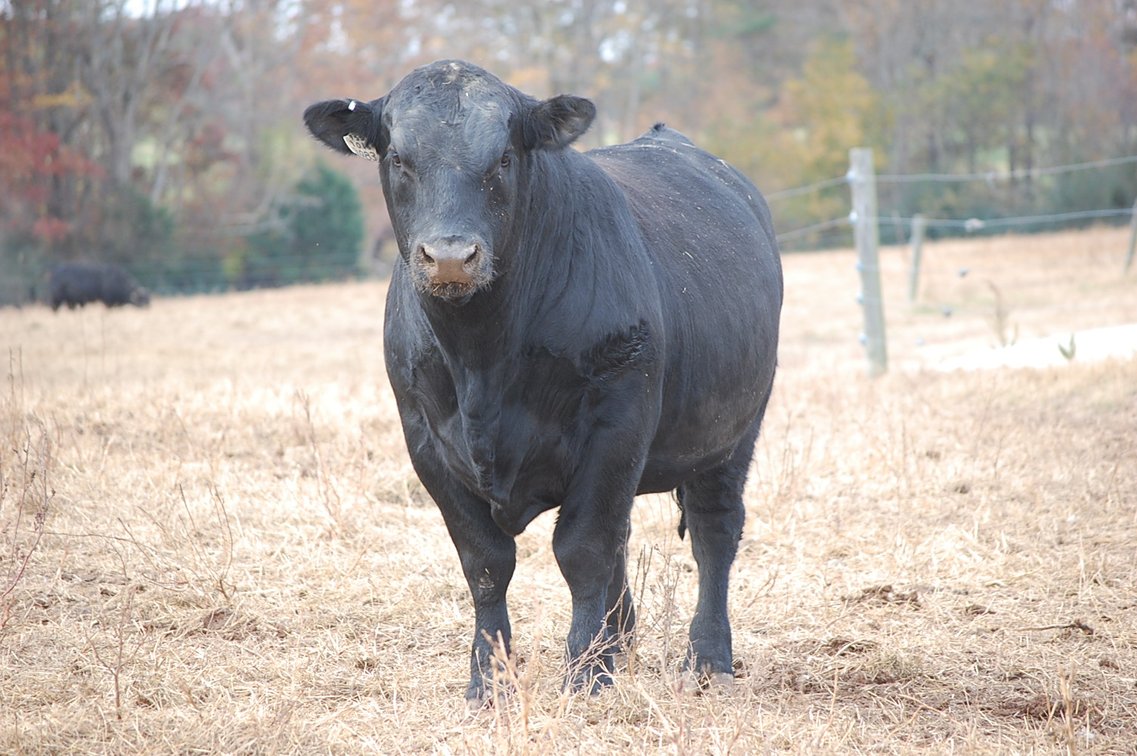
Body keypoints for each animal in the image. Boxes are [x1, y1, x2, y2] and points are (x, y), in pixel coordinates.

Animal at [303, 60, 783, 705]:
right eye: (398, 157)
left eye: (505, 156)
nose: (450, 256)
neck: (482, 355)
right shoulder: (424, 438)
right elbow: (485, 562)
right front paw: (489, 680)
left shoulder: (615, 423)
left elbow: (582, 550)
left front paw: (585, 675)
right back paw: (619, 640)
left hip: (733, 429)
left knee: (714, 531)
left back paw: (707, 659)